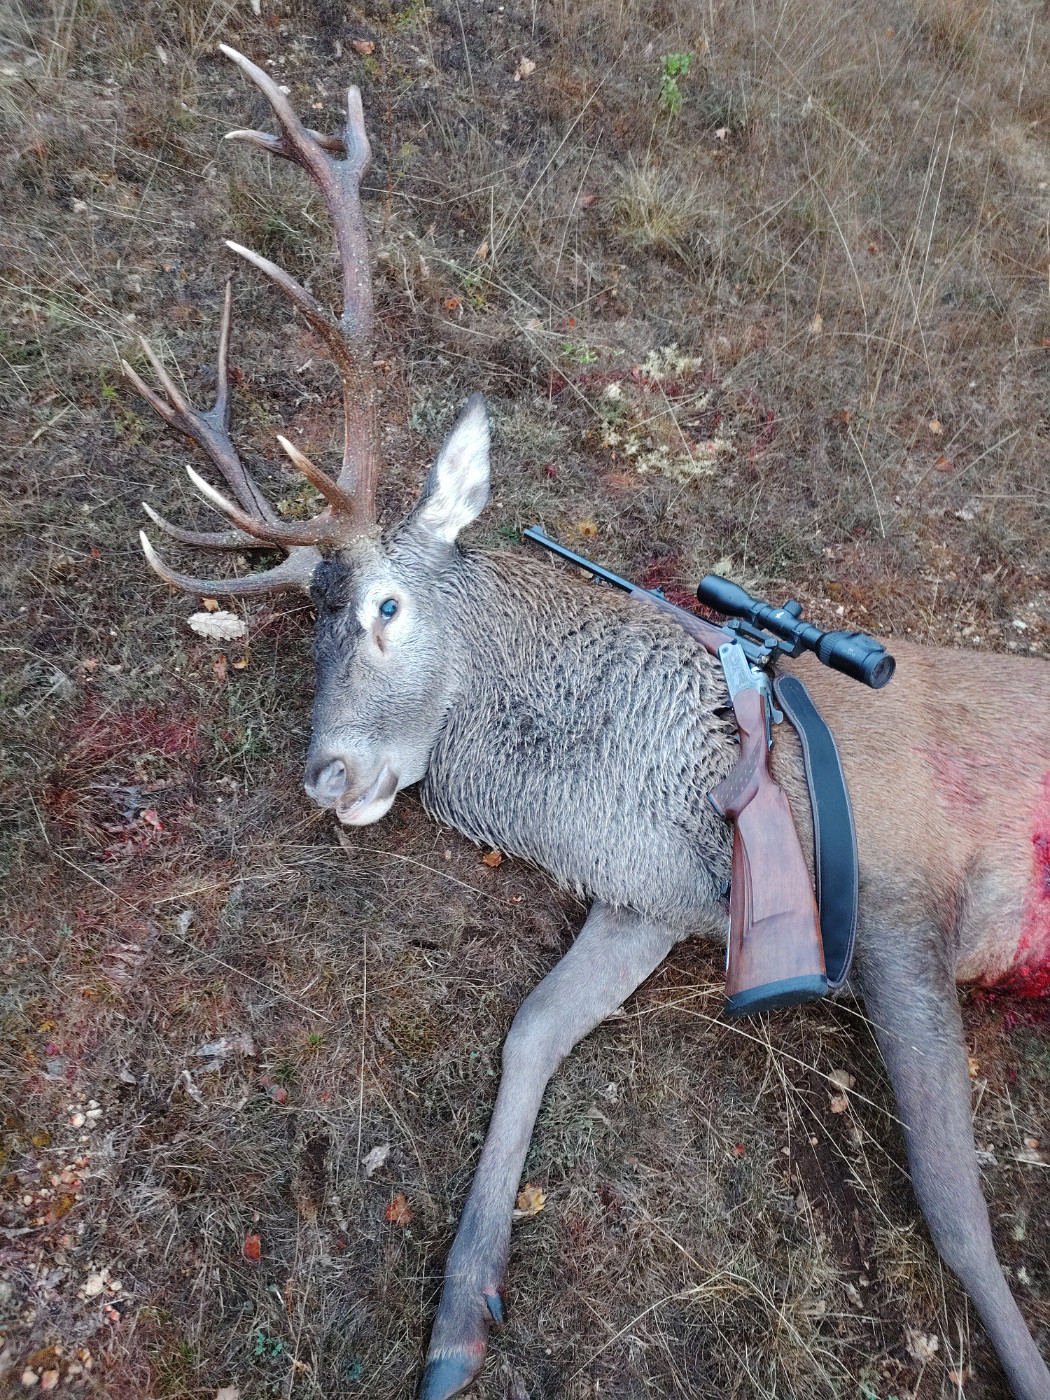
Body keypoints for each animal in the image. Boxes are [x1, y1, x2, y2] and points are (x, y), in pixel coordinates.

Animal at [123, 47, 1050, 1400]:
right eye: (311, 629)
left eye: (387, 606)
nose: (322, 773)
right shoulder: (651, 896)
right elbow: (530, 1031)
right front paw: (458, 1320)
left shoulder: (904, 890)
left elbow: (960, 1217)